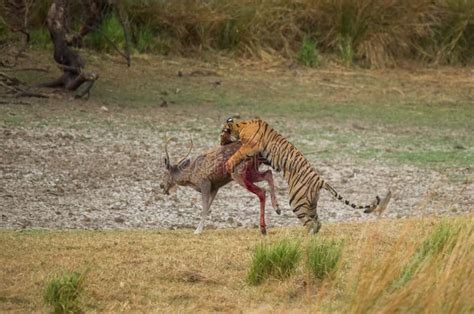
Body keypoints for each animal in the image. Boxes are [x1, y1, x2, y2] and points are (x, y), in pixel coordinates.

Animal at [224, 117, 390, 233]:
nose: (222, 140)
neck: (243, 125)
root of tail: (321, 180)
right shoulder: (262, 154)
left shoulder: (253, 145)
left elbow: (239, 153)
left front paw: (229, 163)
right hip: (310, 204)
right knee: (317, 223)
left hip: (296, 202)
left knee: (311, 224)